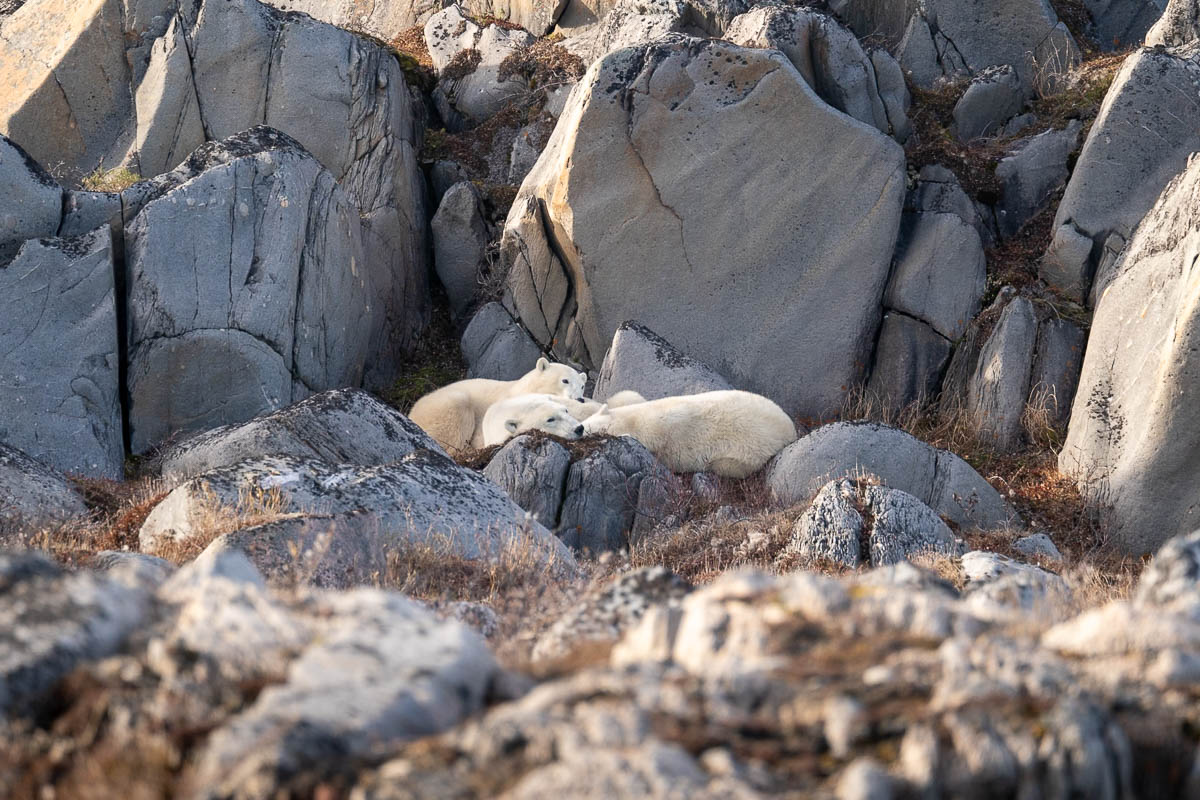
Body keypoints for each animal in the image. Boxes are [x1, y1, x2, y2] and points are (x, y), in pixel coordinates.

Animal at [580, 391, 796, 479]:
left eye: (585, 431)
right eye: (581, 425)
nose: (577, 430)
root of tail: (791, 430)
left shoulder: (659, 427)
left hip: (749, 452)